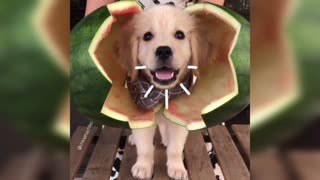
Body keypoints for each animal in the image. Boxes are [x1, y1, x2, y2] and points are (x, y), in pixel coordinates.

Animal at [116, 4, 204, 179]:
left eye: (180, 35)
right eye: (147, 36)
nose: (163, 50)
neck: (162, 93)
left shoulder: (179, 118)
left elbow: (175, 148)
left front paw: (177, 167)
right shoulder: (142, 114)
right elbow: (145, 148)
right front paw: (143, 166)